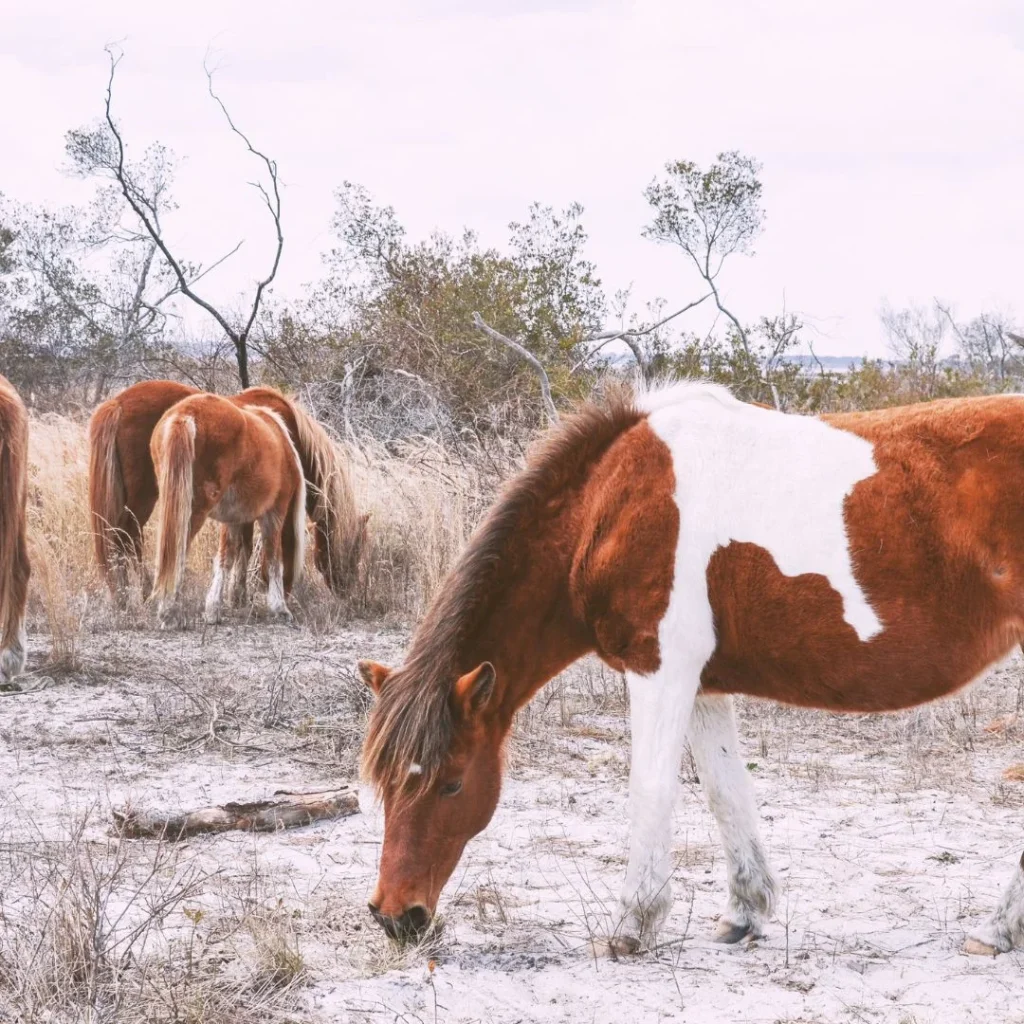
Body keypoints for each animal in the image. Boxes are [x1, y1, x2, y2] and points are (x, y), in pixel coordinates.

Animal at [89, 382, 368, 606]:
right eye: (352, 551)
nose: (348, 592)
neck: (287, 431)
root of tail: (117, 402)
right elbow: (248, 547)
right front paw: (240, 595)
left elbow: (242, 545)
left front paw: (236, 595)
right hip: (145, 497)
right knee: (128, 536)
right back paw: (144, 592)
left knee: (118, 538)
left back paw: (124, 595)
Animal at [358, 380, 1024, 954]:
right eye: (384, 784)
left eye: (451, 782)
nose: (395, 916)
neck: (606, 510)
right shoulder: (703, 685)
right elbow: (726, 791)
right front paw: (745, 913)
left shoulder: (658, 670)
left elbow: (651, 789)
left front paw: (632, 924)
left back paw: (996, 931)